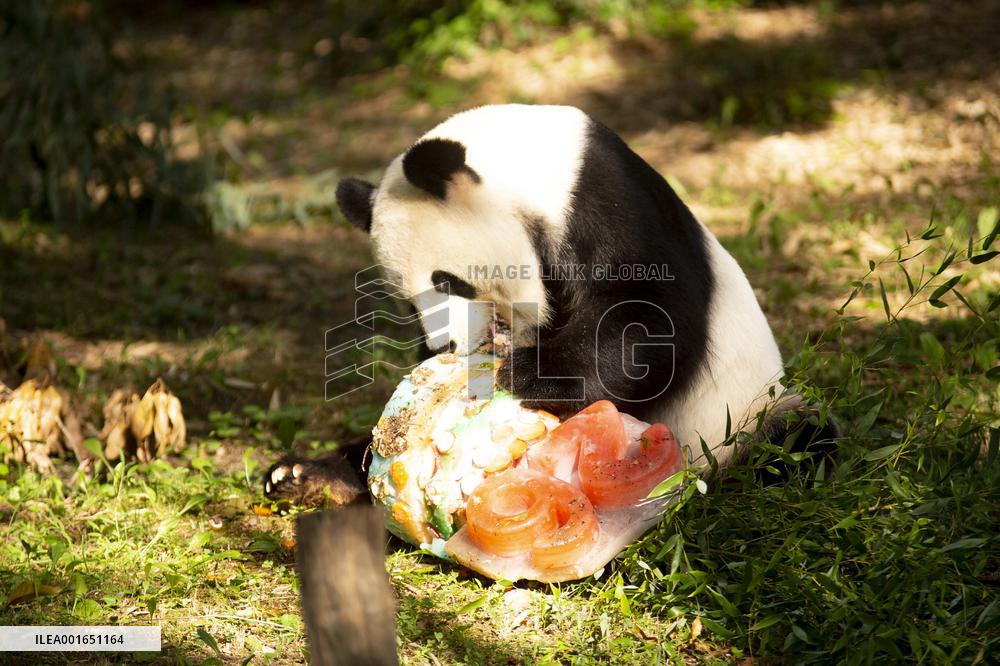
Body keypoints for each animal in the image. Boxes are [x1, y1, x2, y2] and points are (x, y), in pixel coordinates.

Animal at [265, 104, 835, 503]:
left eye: (448, 282)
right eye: (406, 304)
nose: (440, 346)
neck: (529, 166)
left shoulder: (605, 200)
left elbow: (648, 317)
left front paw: (529, 374)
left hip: (745, 418)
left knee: (797, 445)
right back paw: (305, 475)